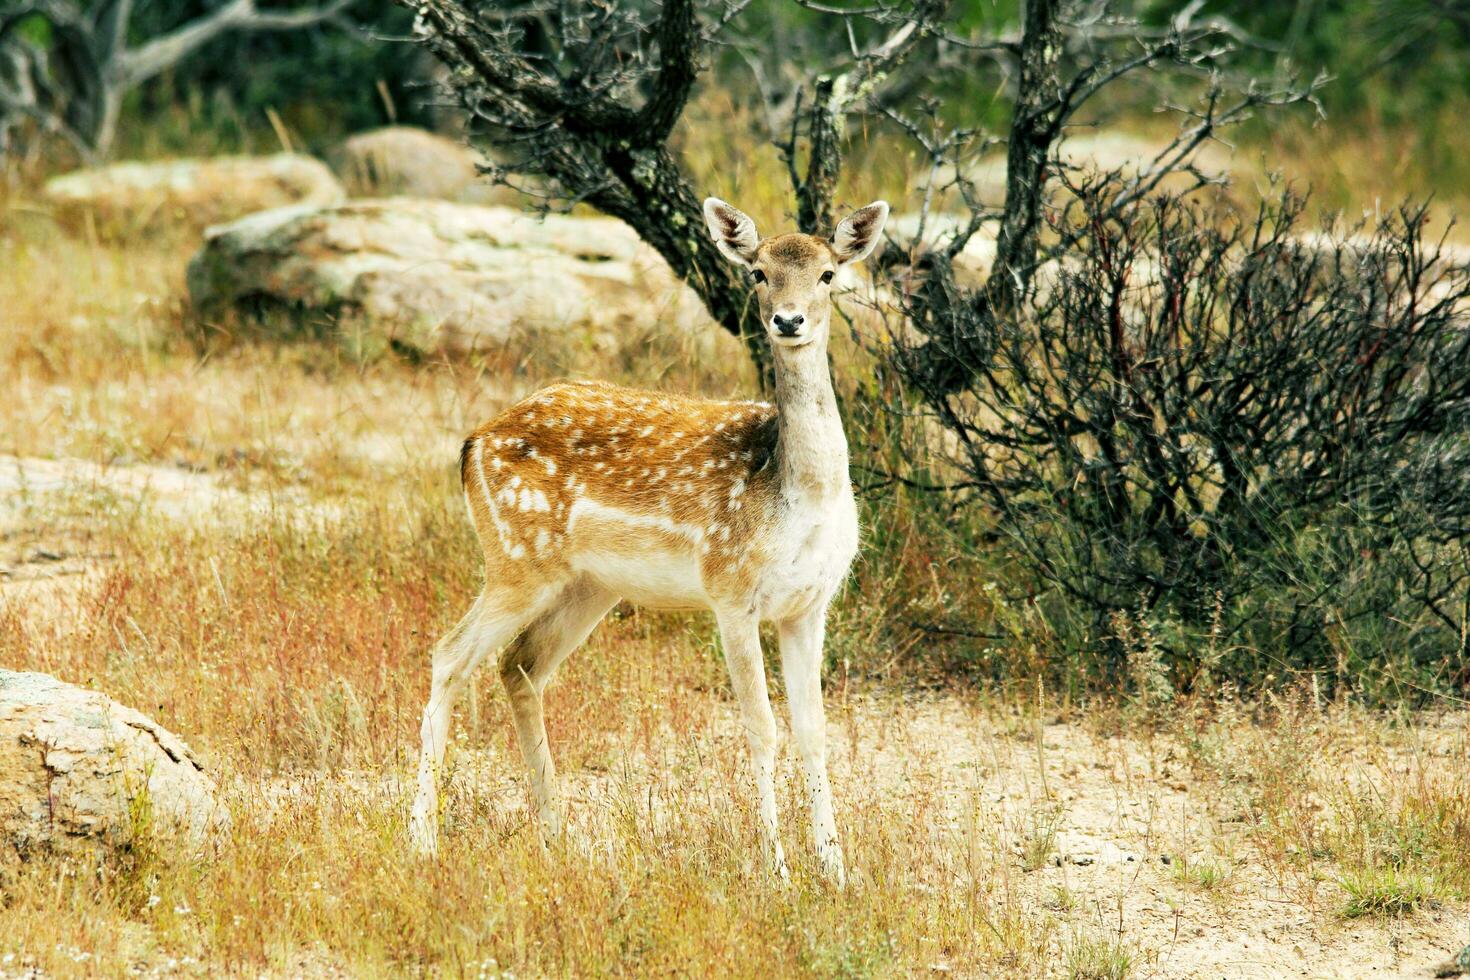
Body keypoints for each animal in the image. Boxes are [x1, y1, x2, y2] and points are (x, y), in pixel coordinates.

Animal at [407, 197, 890, 885]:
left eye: (828, 274)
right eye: (758, 272)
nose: (788, 320)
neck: (794, 495)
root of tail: (472, 442)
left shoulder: (810, 605)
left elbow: (814, 731)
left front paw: (836, 873)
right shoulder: (730, 588)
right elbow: (761, 727)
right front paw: (777, 870)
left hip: (588, 586)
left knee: (520, 665)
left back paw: (556, 834)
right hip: (515, 557)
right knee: (449, 654)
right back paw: (422, 839)